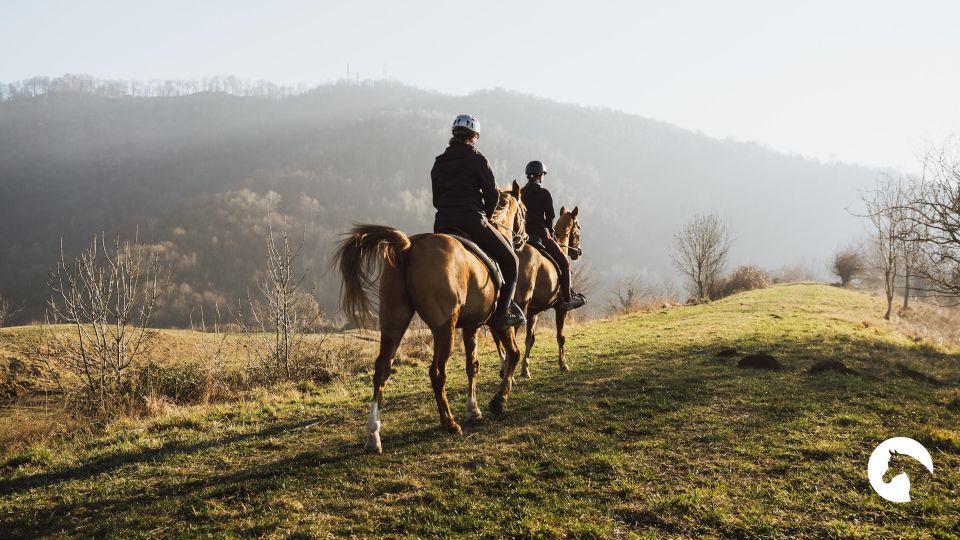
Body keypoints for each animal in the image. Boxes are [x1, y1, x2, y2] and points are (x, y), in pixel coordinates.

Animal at [334, 180, 528, 452]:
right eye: (524, 211)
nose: (523, 239)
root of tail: (408, 247)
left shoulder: (471, 326)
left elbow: (473, 365)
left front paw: (475, 409)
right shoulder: (496, 324)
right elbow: (512, 354)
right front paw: (498, 401)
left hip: (394, 322)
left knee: (381, 368)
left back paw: (373, 436)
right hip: (444, 328)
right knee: (437, 372)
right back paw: (449, 423)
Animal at [502, 205, 584, 378]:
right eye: (578, 227)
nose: (577, 252)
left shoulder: (533, 312)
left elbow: (530, 339)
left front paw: (525, 368)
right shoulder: (561, 308)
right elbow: (560, 336)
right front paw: (563, 364)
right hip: (520, 306)